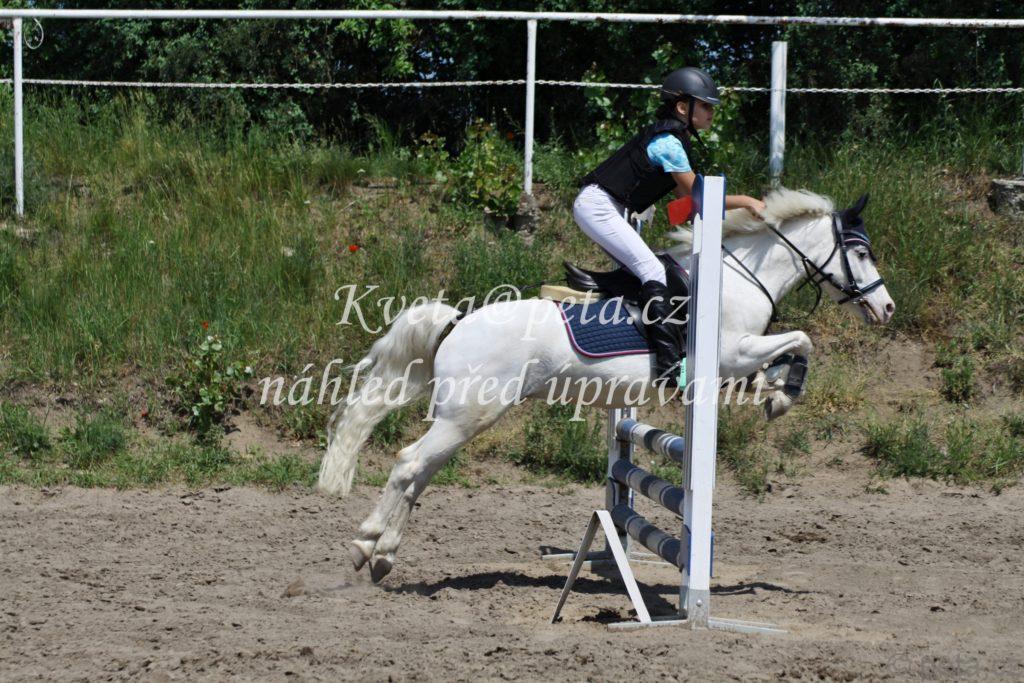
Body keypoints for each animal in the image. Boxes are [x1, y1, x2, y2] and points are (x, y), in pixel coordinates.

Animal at [319, 187, 896, 582]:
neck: (737, 277)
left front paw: (776, 394)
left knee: (420, 472)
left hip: (462, 418)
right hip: (469, 415)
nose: (887, 308)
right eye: (861, 252)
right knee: (409, 464)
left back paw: (379, 550)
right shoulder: (731, 353)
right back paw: (368, 546)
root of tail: (458, 322)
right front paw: (784, 398)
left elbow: (782, 358)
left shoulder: (740, 360)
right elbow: (803, 340)